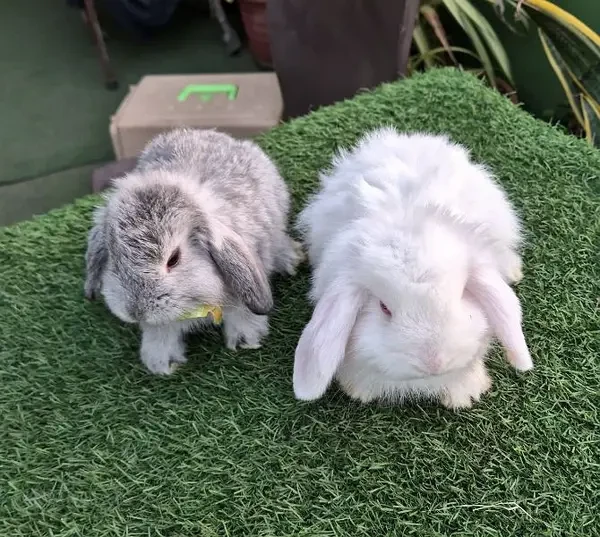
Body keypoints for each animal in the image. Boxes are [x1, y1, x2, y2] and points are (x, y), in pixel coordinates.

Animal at [83, 127, 304, 374]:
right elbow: (160, 332)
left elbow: (242, 311)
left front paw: (246, 340)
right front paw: (161, 364)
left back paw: (291, 258)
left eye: (173, 259)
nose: (137, 311)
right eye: (113, 255)